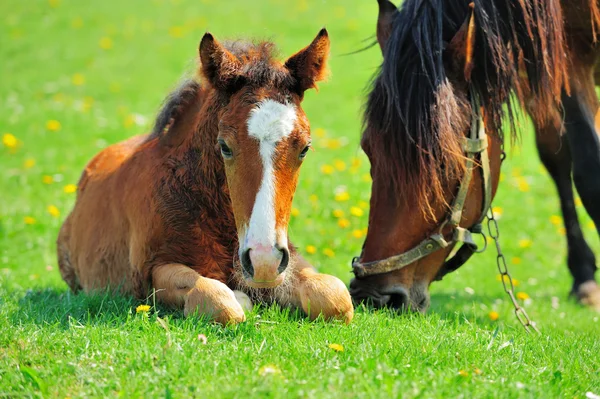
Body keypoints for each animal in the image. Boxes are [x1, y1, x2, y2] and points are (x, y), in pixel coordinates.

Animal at [56, 30, 354, 324]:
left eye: (304, 148)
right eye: (224, 146)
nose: (263, 261)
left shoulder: (290, 259)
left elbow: (334, 295)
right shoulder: (150, 272)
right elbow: (219, 298)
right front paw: (241, 297)